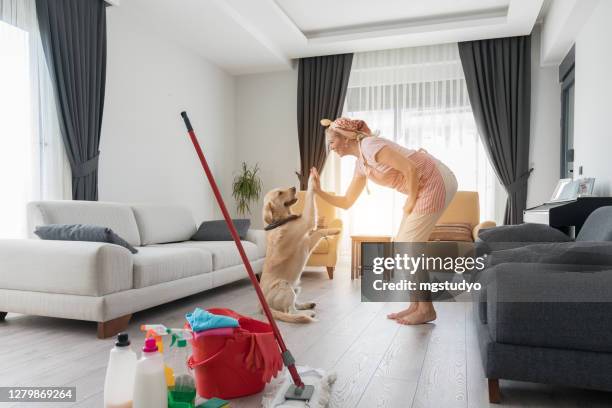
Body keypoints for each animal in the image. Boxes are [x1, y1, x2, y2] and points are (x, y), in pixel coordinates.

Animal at [260, 177, 342, 324]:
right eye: (280, 193)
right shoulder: (307, 221)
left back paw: (307, 305)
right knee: (290, 311)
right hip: (284, 285)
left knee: (295, 304)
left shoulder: (307, 242)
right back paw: (308, 313)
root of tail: (262, 306)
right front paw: (312, 180)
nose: (294, 188)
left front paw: (334, 230)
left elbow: (320, 231)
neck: (281, 221)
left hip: (296, 287)